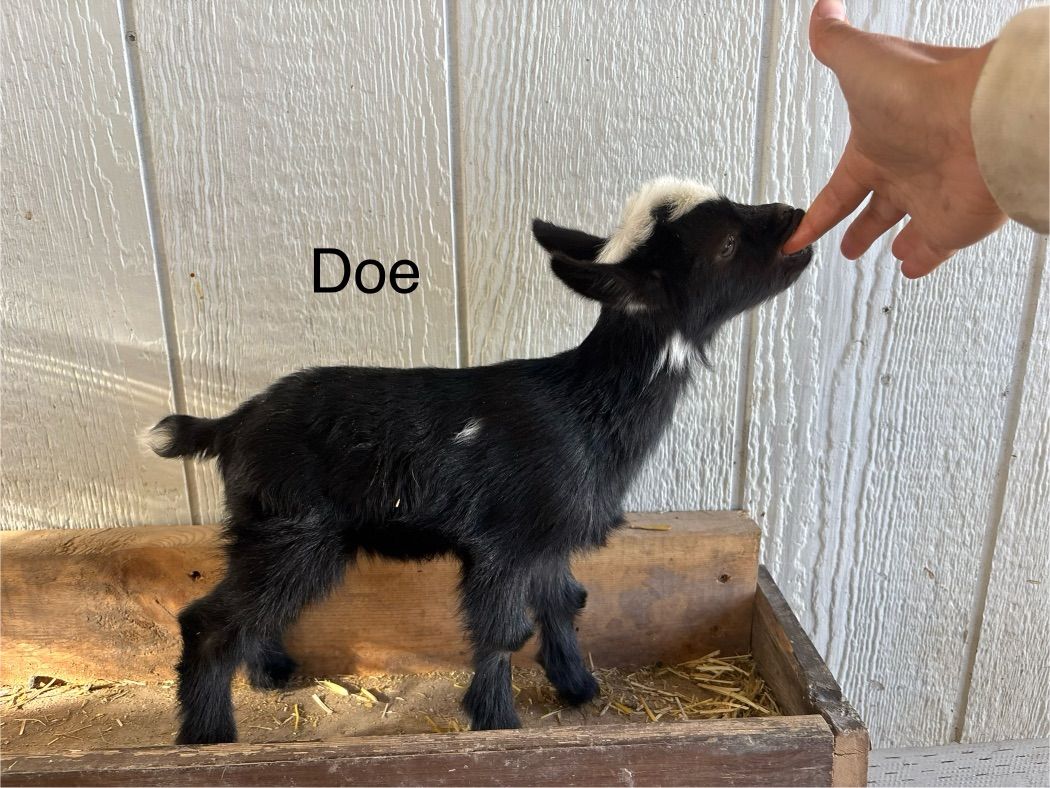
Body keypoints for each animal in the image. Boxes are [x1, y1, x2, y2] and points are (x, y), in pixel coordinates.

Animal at [149, 177, 814, 745]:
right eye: (726, 243)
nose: (798, 216)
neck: (583, 404)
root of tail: (231, 424)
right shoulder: (502, 544)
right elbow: (502, 632)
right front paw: (497, 724)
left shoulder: (548, 541)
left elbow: (563, 603)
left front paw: (578, 688)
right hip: (289, 531)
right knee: (210, 622)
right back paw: (208, 737)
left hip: (276, 533)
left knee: (253, 614)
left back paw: (270, 676)